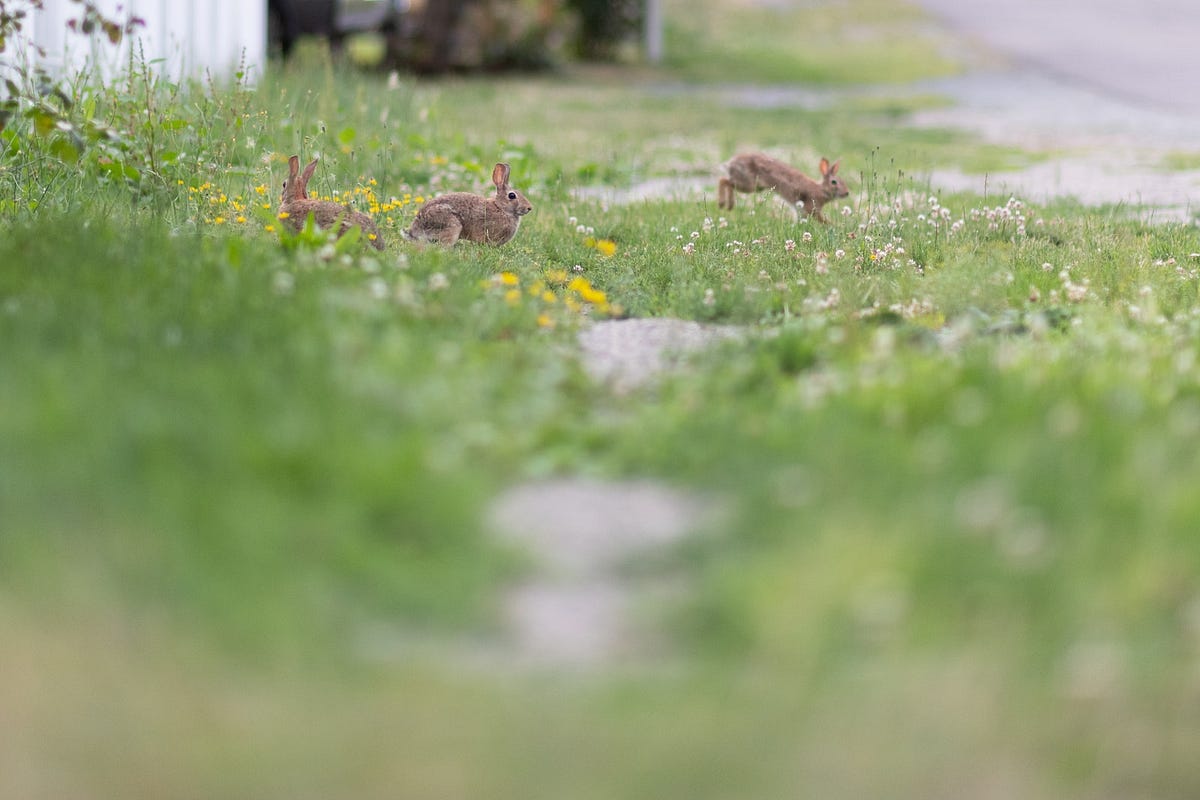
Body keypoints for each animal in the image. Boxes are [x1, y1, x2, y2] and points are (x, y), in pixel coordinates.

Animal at [718, 154, 849, 223]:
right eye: (834, 182)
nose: (847, 193)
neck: (822, 190)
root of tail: (732, 163)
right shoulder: (811, 208)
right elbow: (822, 220)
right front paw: (832, 226)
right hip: (749, 184)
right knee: (723, 180)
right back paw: (724, 204)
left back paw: (727, 206)